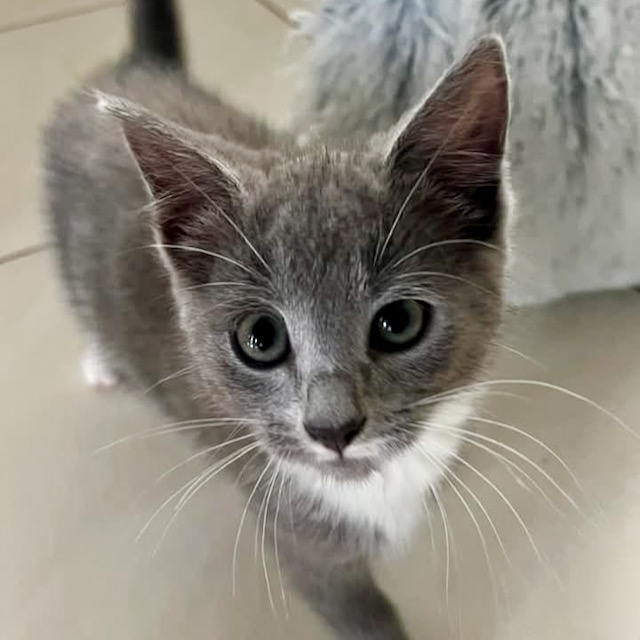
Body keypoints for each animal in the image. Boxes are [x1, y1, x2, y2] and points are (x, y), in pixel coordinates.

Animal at [42, 2, 512, 636]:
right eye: (259, 338)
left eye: (400, 321)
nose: (331, 428)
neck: (375, 485)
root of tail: (134, 67)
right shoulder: (301, 539)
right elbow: (362, 614)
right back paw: (101, 361)